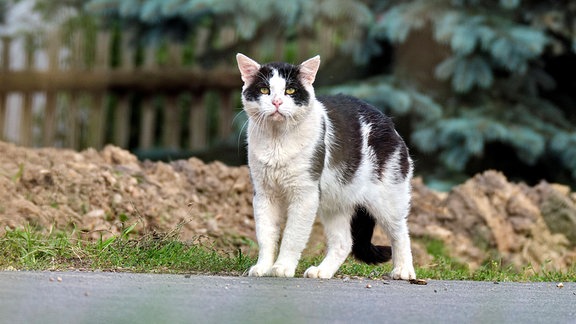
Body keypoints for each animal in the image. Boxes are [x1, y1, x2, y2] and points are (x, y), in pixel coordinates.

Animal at [236, 53, 416, 280]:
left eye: (290, 90)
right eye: (264, 90)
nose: (277, 102)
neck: (277, 142)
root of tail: (387, 121)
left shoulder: (305, 195)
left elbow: (292, 236)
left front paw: (283, 268)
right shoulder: (264, 194)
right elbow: (265, 235)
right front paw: (263, 267)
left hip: (387, 198)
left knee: (401, 232)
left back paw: (404, 270)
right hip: (335, 202)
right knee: (344, 243)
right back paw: (322, 271)